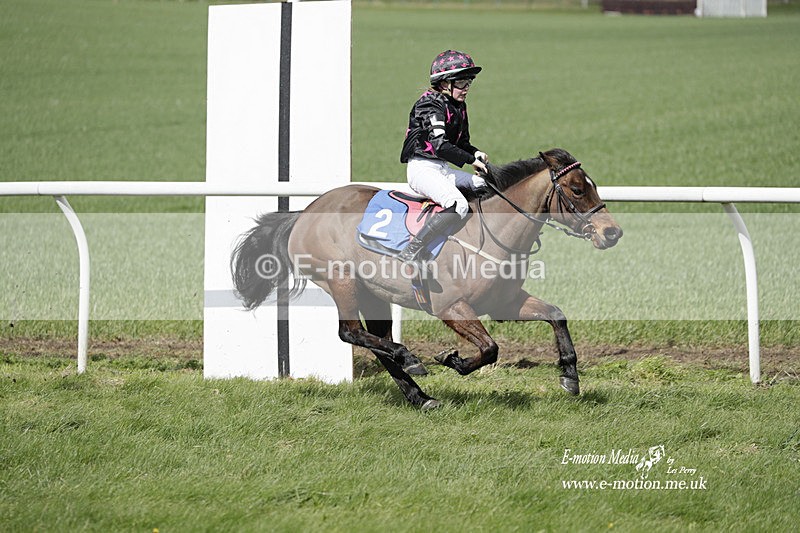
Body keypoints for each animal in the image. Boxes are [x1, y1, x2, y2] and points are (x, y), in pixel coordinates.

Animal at [231, 148, 622, 409]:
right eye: (576, 189)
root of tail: (303, 213)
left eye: (592, 186)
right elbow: (490, 348)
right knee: (351, 333)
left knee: (376, 341)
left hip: (374, 294)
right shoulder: (451, 307)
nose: (613, 232)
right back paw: (411, 359)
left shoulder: (505, 303)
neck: (492, 234)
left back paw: (420, 396)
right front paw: (453, 360)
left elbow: (556, 315)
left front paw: (570, 376)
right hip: (341, 281)